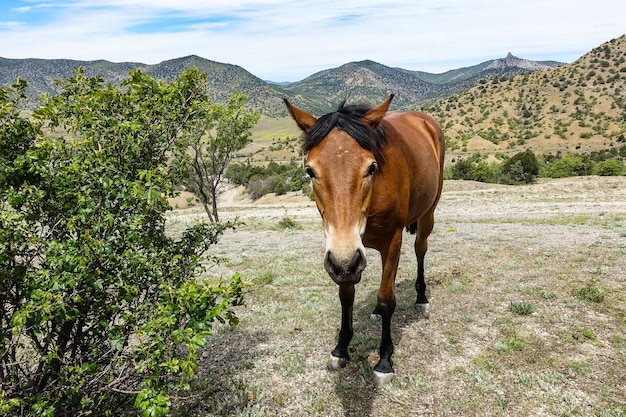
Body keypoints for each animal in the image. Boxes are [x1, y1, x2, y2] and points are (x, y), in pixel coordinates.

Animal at [282, 93, 444, 384]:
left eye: (371, 167)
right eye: (310, 171)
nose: (345, 260)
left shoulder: (390, 242)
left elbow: (387, 298)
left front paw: (384, 360)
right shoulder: (345, 259)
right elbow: (346, 296)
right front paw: (341, 348)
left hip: (428, 213)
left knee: (420, 250)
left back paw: (421, 298)